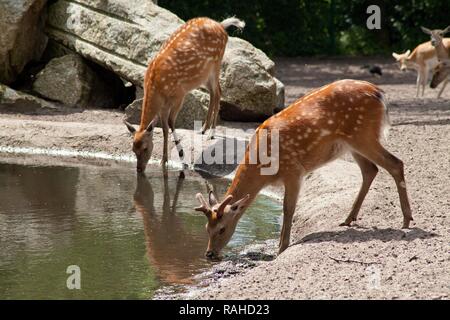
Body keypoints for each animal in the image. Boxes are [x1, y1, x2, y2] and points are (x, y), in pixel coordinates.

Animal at [125, 16, 246, 174]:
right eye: (133, 149)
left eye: (145, 148)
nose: (139, 169)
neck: (156, 88)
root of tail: (221, 25)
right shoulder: (164, 105)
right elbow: (164, 128)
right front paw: (164, 161)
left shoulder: (179, 95)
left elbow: (171, 122)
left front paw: (182, 159)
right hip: (203, 76)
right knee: (213, 92)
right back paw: (203, 129)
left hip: (216, 64)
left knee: (218, 92)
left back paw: (211, 133)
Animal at [195, 79, 414, 260]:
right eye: (206, 228)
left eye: (222, 229)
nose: (209, 254)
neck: (264, 168)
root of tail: (380, 94)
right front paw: (280, 245)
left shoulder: (293, 170)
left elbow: (288, 208)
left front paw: (281, 248)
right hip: (352, 144)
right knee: (371, 170)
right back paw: (348, 219)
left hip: (363, 135)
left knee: (395, 163)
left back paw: (406, 220)